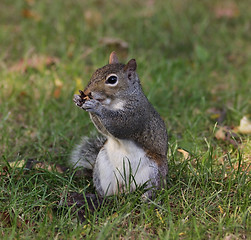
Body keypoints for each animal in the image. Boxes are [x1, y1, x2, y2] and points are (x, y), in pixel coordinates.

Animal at [69, 52, 168, 199]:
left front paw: (96, 106)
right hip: (102, 168)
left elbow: (119, 126)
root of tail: (124, 188)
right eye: (96, 71)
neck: (112, 103)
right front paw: (77, 99)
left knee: (151, 189)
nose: (87, 92)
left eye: (112, 80)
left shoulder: (136, 114)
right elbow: (104, 129)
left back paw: (145, 199)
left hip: (153, 172)